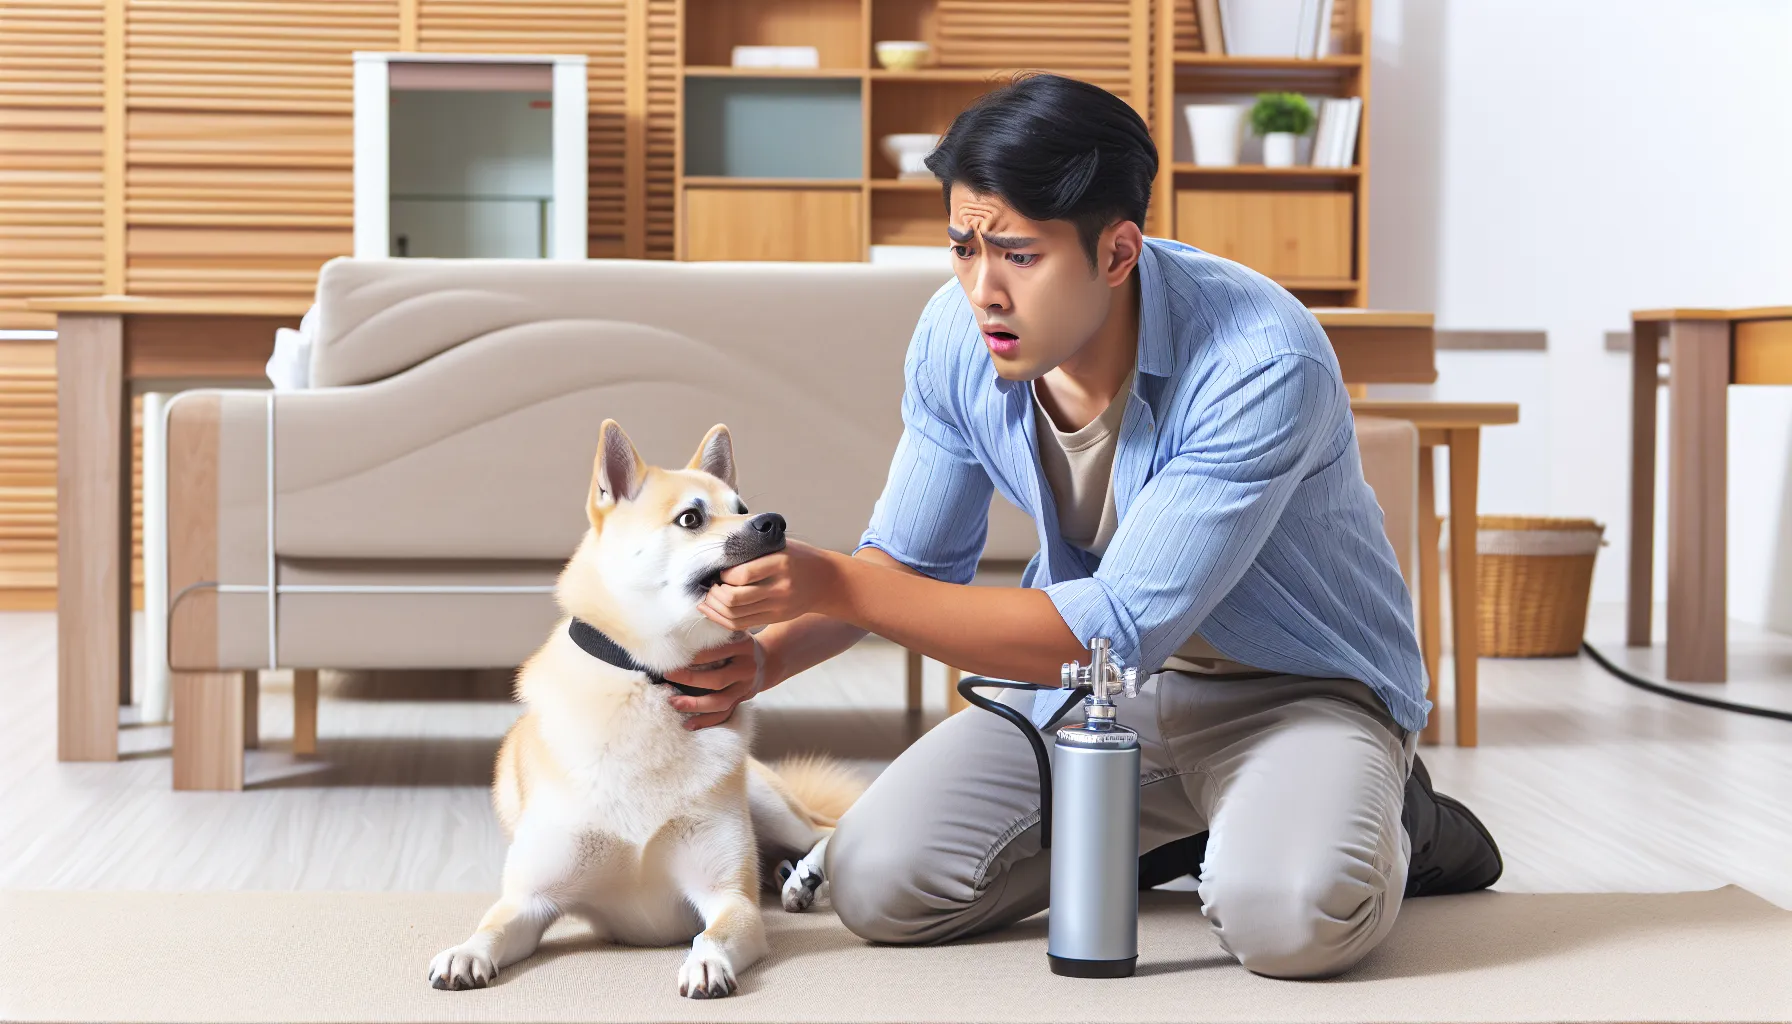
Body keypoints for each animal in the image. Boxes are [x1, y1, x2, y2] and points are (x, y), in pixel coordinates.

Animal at [426, 421, 860, 997]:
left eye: (741, 507)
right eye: (691, 518)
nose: (774, 523)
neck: (649, 681)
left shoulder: (729, 899)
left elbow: (714, 933)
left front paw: (706, 962)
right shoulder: (529, 900)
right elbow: (491, 927)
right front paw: (465, 953)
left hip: (769, 805)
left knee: (831, 832)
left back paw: (804, 876)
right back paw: (787, 877)